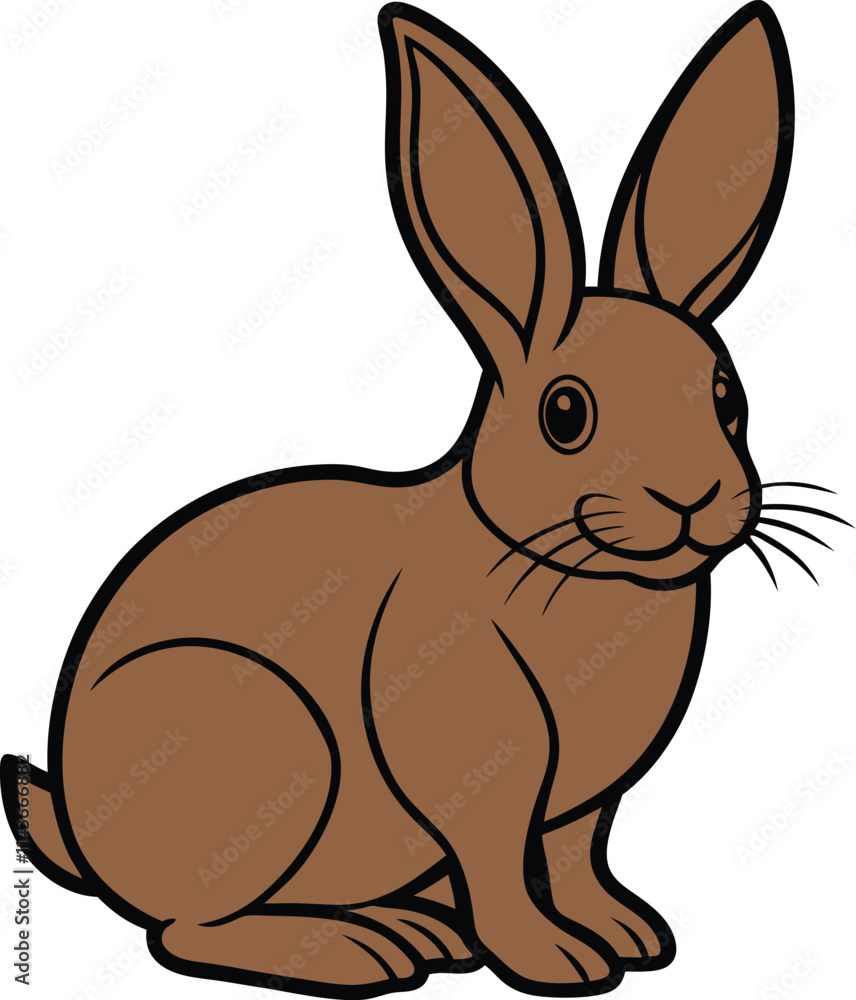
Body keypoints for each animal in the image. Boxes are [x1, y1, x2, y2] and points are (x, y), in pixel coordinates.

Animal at [4, 2, 842, 996]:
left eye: (725, 395)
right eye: (566, 414)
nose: (694, 496)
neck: (550, 561)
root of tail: (81, 835)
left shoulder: (583, 806)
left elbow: (575, 858)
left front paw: (628, 935)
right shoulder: (481, 771)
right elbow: (502, 862)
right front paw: (558, 960)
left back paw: (418, 930)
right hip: (264, 741)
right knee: (183, 932)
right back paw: (361, 950)